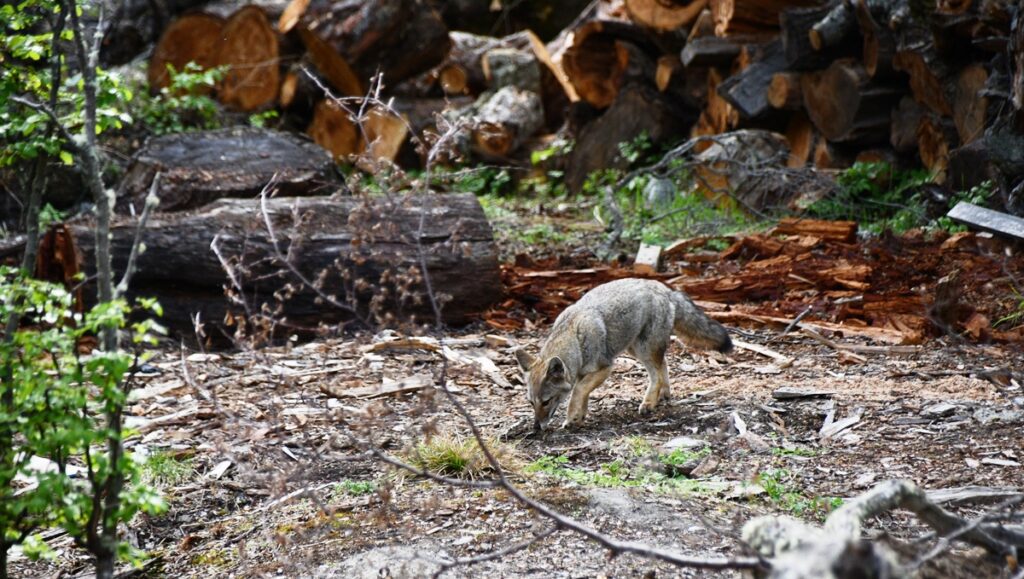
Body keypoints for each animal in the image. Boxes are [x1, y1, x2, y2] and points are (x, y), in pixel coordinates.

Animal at [516, 274, 733, 428]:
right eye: (531, 403)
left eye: (546, 402)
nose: (536, 427)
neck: (575, 338)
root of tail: (665, 289)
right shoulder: (585, 374)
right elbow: (582, 393)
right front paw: (580, 416)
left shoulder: (605, 368)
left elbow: (577, 391)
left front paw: (571, 418)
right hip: (635, 349)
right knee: (663, 365)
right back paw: (662, 395)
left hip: (643, 350)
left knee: (656, 374)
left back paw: (649, 403)